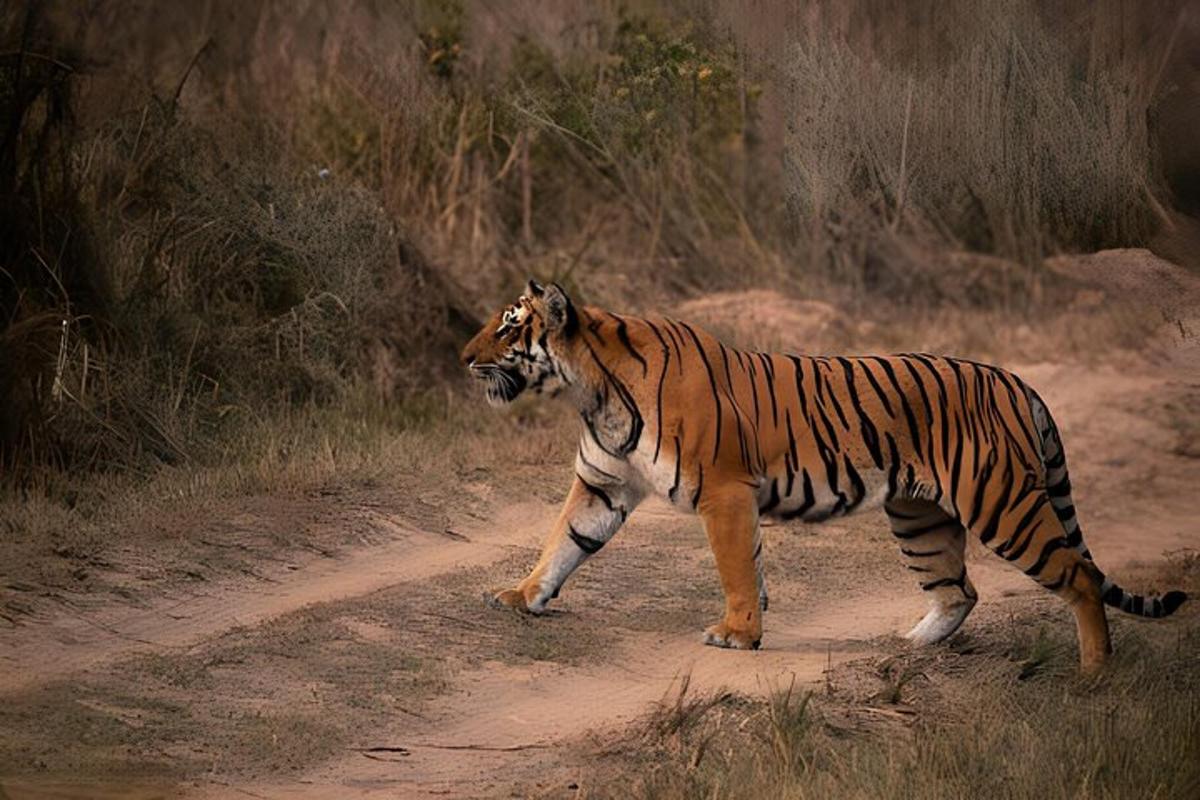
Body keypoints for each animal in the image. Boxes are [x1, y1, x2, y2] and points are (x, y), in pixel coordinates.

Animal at [460, 283, 1190, 676]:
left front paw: (736, 634)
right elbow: (562, 544)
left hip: (1001, 503)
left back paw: (1094, 673)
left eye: (508, 328)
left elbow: (735, 567)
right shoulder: (603, 485)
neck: (589, 389)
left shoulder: (723, 490)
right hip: (919, 517)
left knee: (1079, 577)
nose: (463, 358)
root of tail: (1018, 381)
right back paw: (906, 648)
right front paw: (523, 596)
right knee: (959, 590)